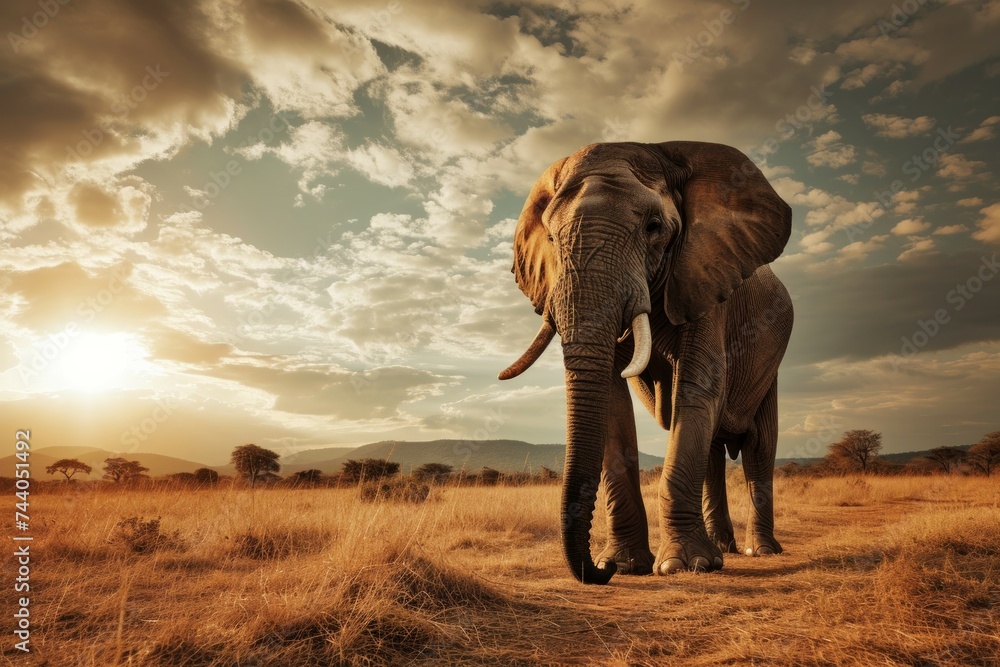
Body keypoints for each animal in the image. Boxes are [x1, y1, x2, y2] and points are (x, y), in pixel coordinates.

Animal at [498, 141, 793, 584]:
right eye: (550, 236)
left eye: (654, 227)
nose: (598, 570)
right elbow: (613, 404)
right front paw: (626, 565)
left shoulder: (705, 278)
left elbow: (697, 386)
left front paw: (683, 566)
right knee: (711, 452)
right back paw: (722, 549)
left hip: (770, 364)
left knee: (759, 446)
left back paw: (759, 551)